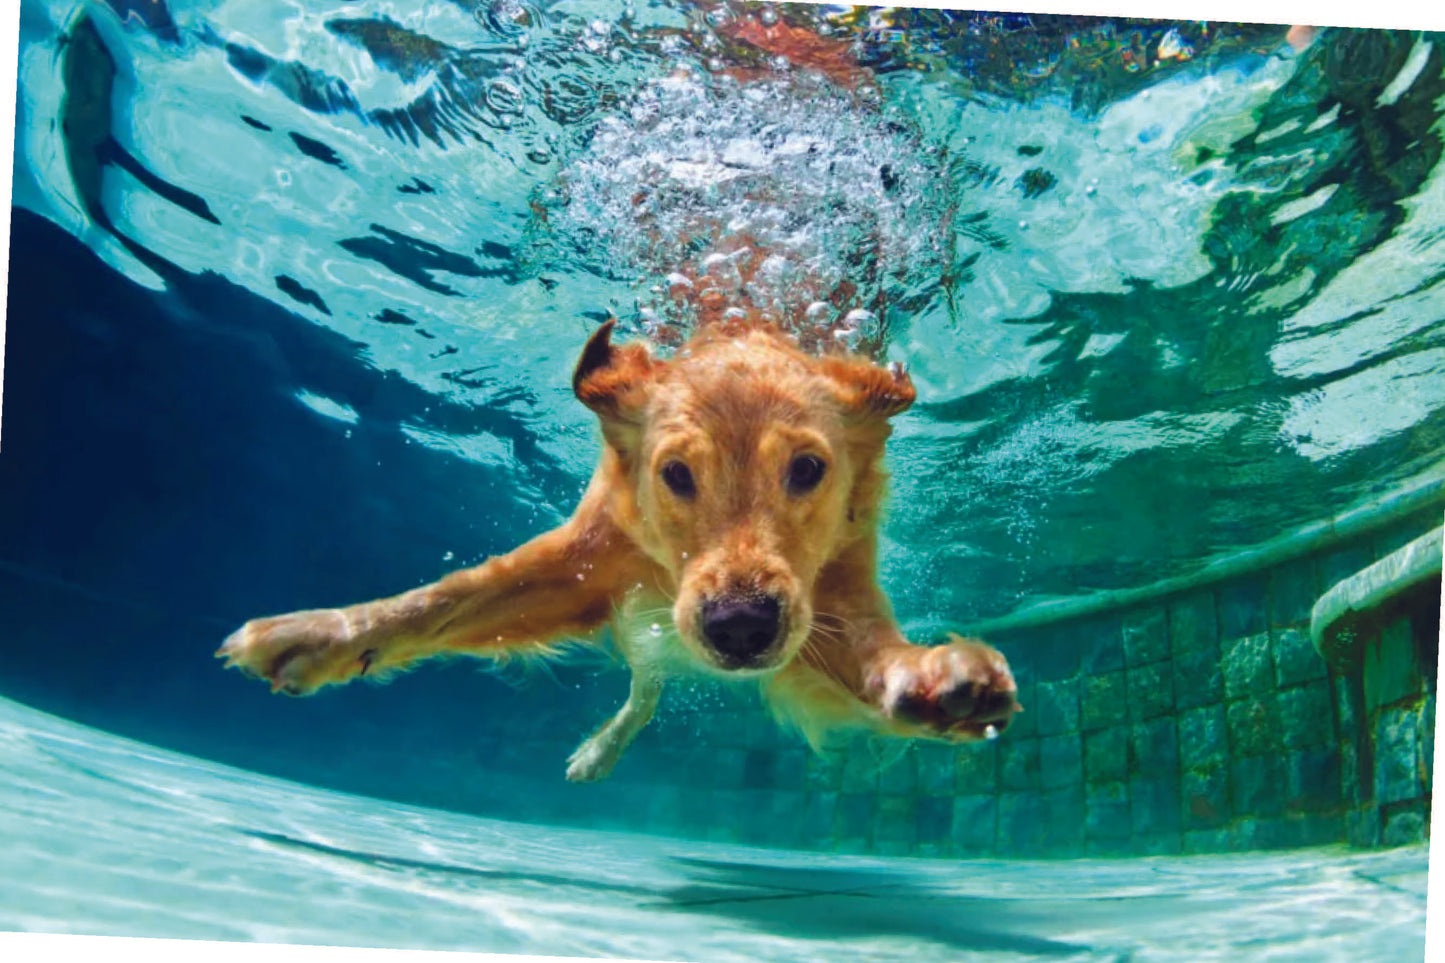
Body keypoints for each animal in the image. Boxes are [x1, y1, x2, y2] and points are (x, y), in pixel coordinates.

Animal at [219, 316, 1023, 780]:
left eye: (806, 469)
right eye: (676, 473)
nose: (740, 627)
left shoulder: (831, 593)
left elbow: (873, 653)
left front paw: (935, 679)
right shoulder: (583, 559)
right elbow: (443, 599)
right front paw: (316, 635)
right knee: (645, 686)